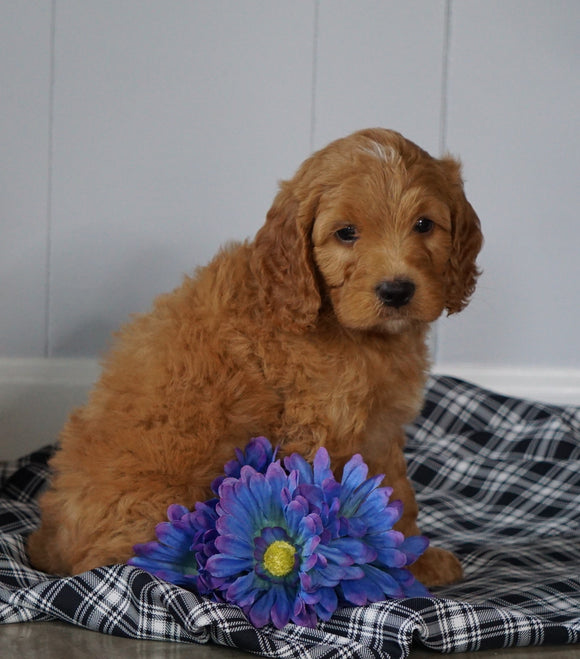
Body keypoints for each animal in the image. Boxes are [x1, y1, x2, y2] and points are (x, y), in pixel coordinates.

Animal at [28, 129, 480, 588]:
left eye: (424, 225)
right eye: (346, 233)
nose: (396, 291)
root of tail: (48, 544)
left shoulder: (381, 429)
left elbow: (396, 494)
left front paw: (415, 560)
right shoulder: (318, 430)